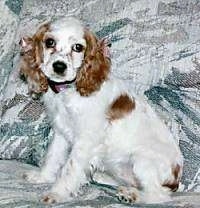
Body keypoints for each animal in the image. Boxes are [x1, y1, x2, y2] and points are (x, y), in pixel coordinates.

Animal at [22, 16, 184, 205]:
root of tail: (176, 180)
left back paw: (132, 195)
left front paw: (57, 193)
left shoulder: (86, 139)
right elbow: (53, 157)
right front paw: (42, 177)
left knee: (159, 195)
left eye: (78, 47)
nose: (59, 66)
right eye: (49, 42)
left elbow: (70, 168)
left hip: (143, 162)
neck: (69, 91)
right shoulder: (61, 132)